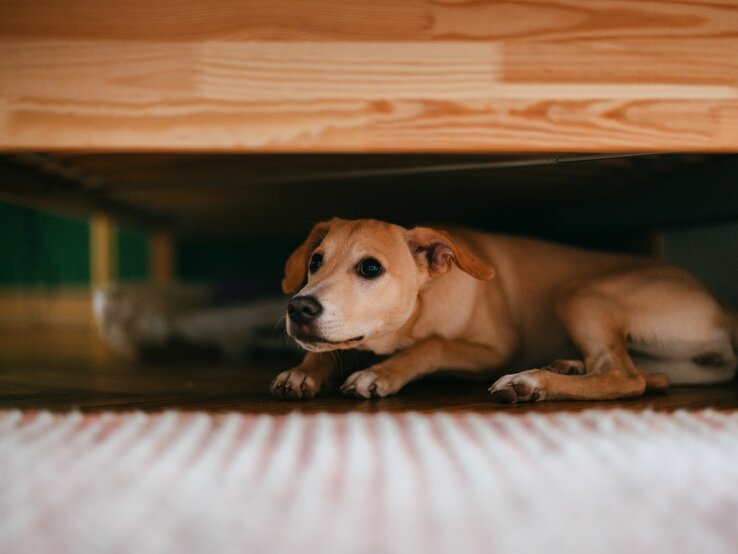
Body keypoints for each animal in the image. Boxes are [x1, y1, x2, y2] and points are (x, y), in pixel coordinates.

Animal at [270, 217, 736, 402]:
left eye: (370, 268)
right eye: (315, 261)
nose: (299, 308)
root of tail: (723, 307)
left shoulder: (495, 350)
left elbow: (433, 346)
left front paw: (380, 374)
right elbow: (330, 349)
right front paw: (304, 371)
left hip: (579, 293)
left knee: (625, 377)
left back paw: (532, 382)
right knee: (648, 376)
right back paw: (564, 367)